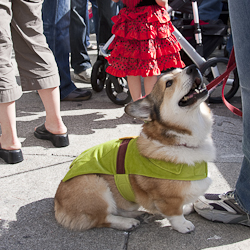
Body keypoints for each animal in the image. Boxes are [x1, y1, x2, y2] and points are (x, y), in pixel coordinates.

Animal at [54, 65, 215, 233]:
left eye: (181, 69)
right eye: (169, 83)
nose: (193, 67)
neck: (178, 139)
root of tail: (58, 204)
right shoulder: (168, 200)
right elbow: (175, 214)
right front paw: (183, 225)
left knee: (119, 210)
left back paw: (138, 214)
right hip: (94, 184)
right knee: (103, 218)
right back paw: (127, 222)